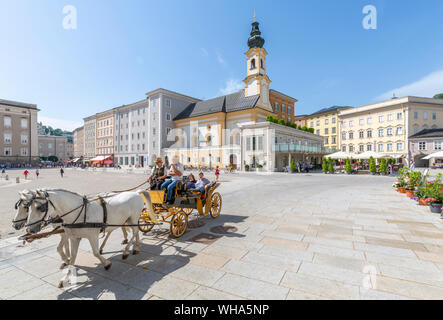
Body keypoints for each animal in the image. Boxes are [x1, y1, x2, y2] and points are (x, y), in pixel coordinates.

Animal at [25, 188, 154, 288]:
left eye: (40, 207)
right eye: (28, 208)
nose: (29, 230)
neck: (80, 213)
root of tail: (136, 192)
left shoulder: (92, 236)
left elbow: (95, 253)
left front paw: (106, 264)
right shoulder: (74, 238)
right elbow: (72, 258)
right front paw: (65, 278)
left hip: (133, 218)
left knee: (135, 232)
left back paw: (126, 252)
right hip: (128, 220)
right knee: (135, 232)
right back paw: (136, 248)